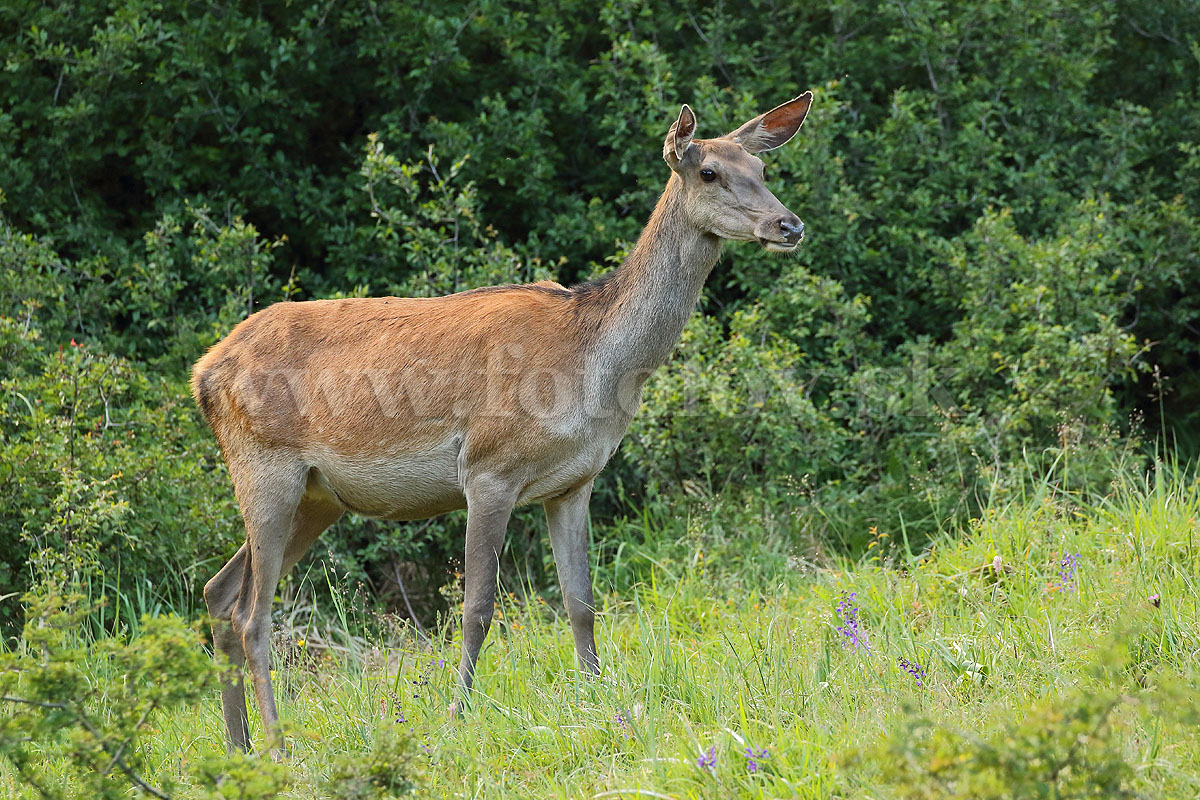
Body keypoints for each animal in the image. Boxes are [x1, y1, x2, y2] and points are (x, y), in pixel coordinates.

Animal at [194, 94, 816, 753]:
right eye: (709, 172)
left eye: (763, 169)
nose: (789, 226)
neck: (592, 364)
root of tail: (203, 374)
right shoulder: (488, 470)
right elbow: (477, 607)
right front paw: (456, 716)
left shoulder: (574, 483)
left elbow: (580, 601)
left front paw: (598, 701)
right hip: (266, 467)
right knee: (252, 613)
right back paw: (277, 744)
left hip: (318, 497)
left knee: (220, 591)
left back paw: (238, 744)